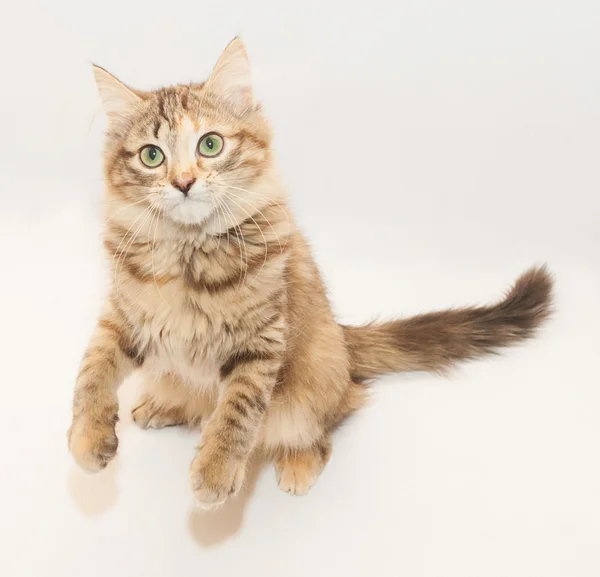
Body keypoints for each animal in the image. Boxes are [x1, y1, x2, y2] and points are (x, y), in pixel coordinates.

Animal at [68, 37, 552, 508]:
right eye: (152, 156)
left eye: (210, 144)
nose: (183, 183)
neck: (189, 253)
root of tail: (342, 338)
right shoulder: (123, 317)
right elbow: (91, 374)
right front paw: (87, 442)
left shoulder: (261, 340)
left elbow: (236, 414)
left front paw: (215, 473)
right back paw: (161, 407)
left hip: (306, 393)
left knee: (329, 422)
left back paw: (298, 465)